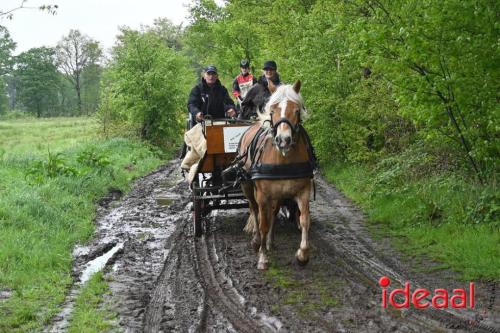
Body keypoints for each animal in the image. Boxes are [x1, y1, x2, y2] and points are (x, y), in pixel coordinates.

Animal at [234, 80, 312, 270]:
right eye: (272, 111)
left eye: (296, 110)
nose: (283, 140)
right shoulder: (262, 195)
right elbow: (262, 222)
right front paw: (262, 258)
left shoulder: (303, 191)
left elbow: (304, 220)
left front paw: (302, 255)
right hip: (248, 186)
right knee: (254, 210)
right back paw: (257, 241)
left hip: (278, 193)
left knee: (273, 212)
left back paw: (269, 241)